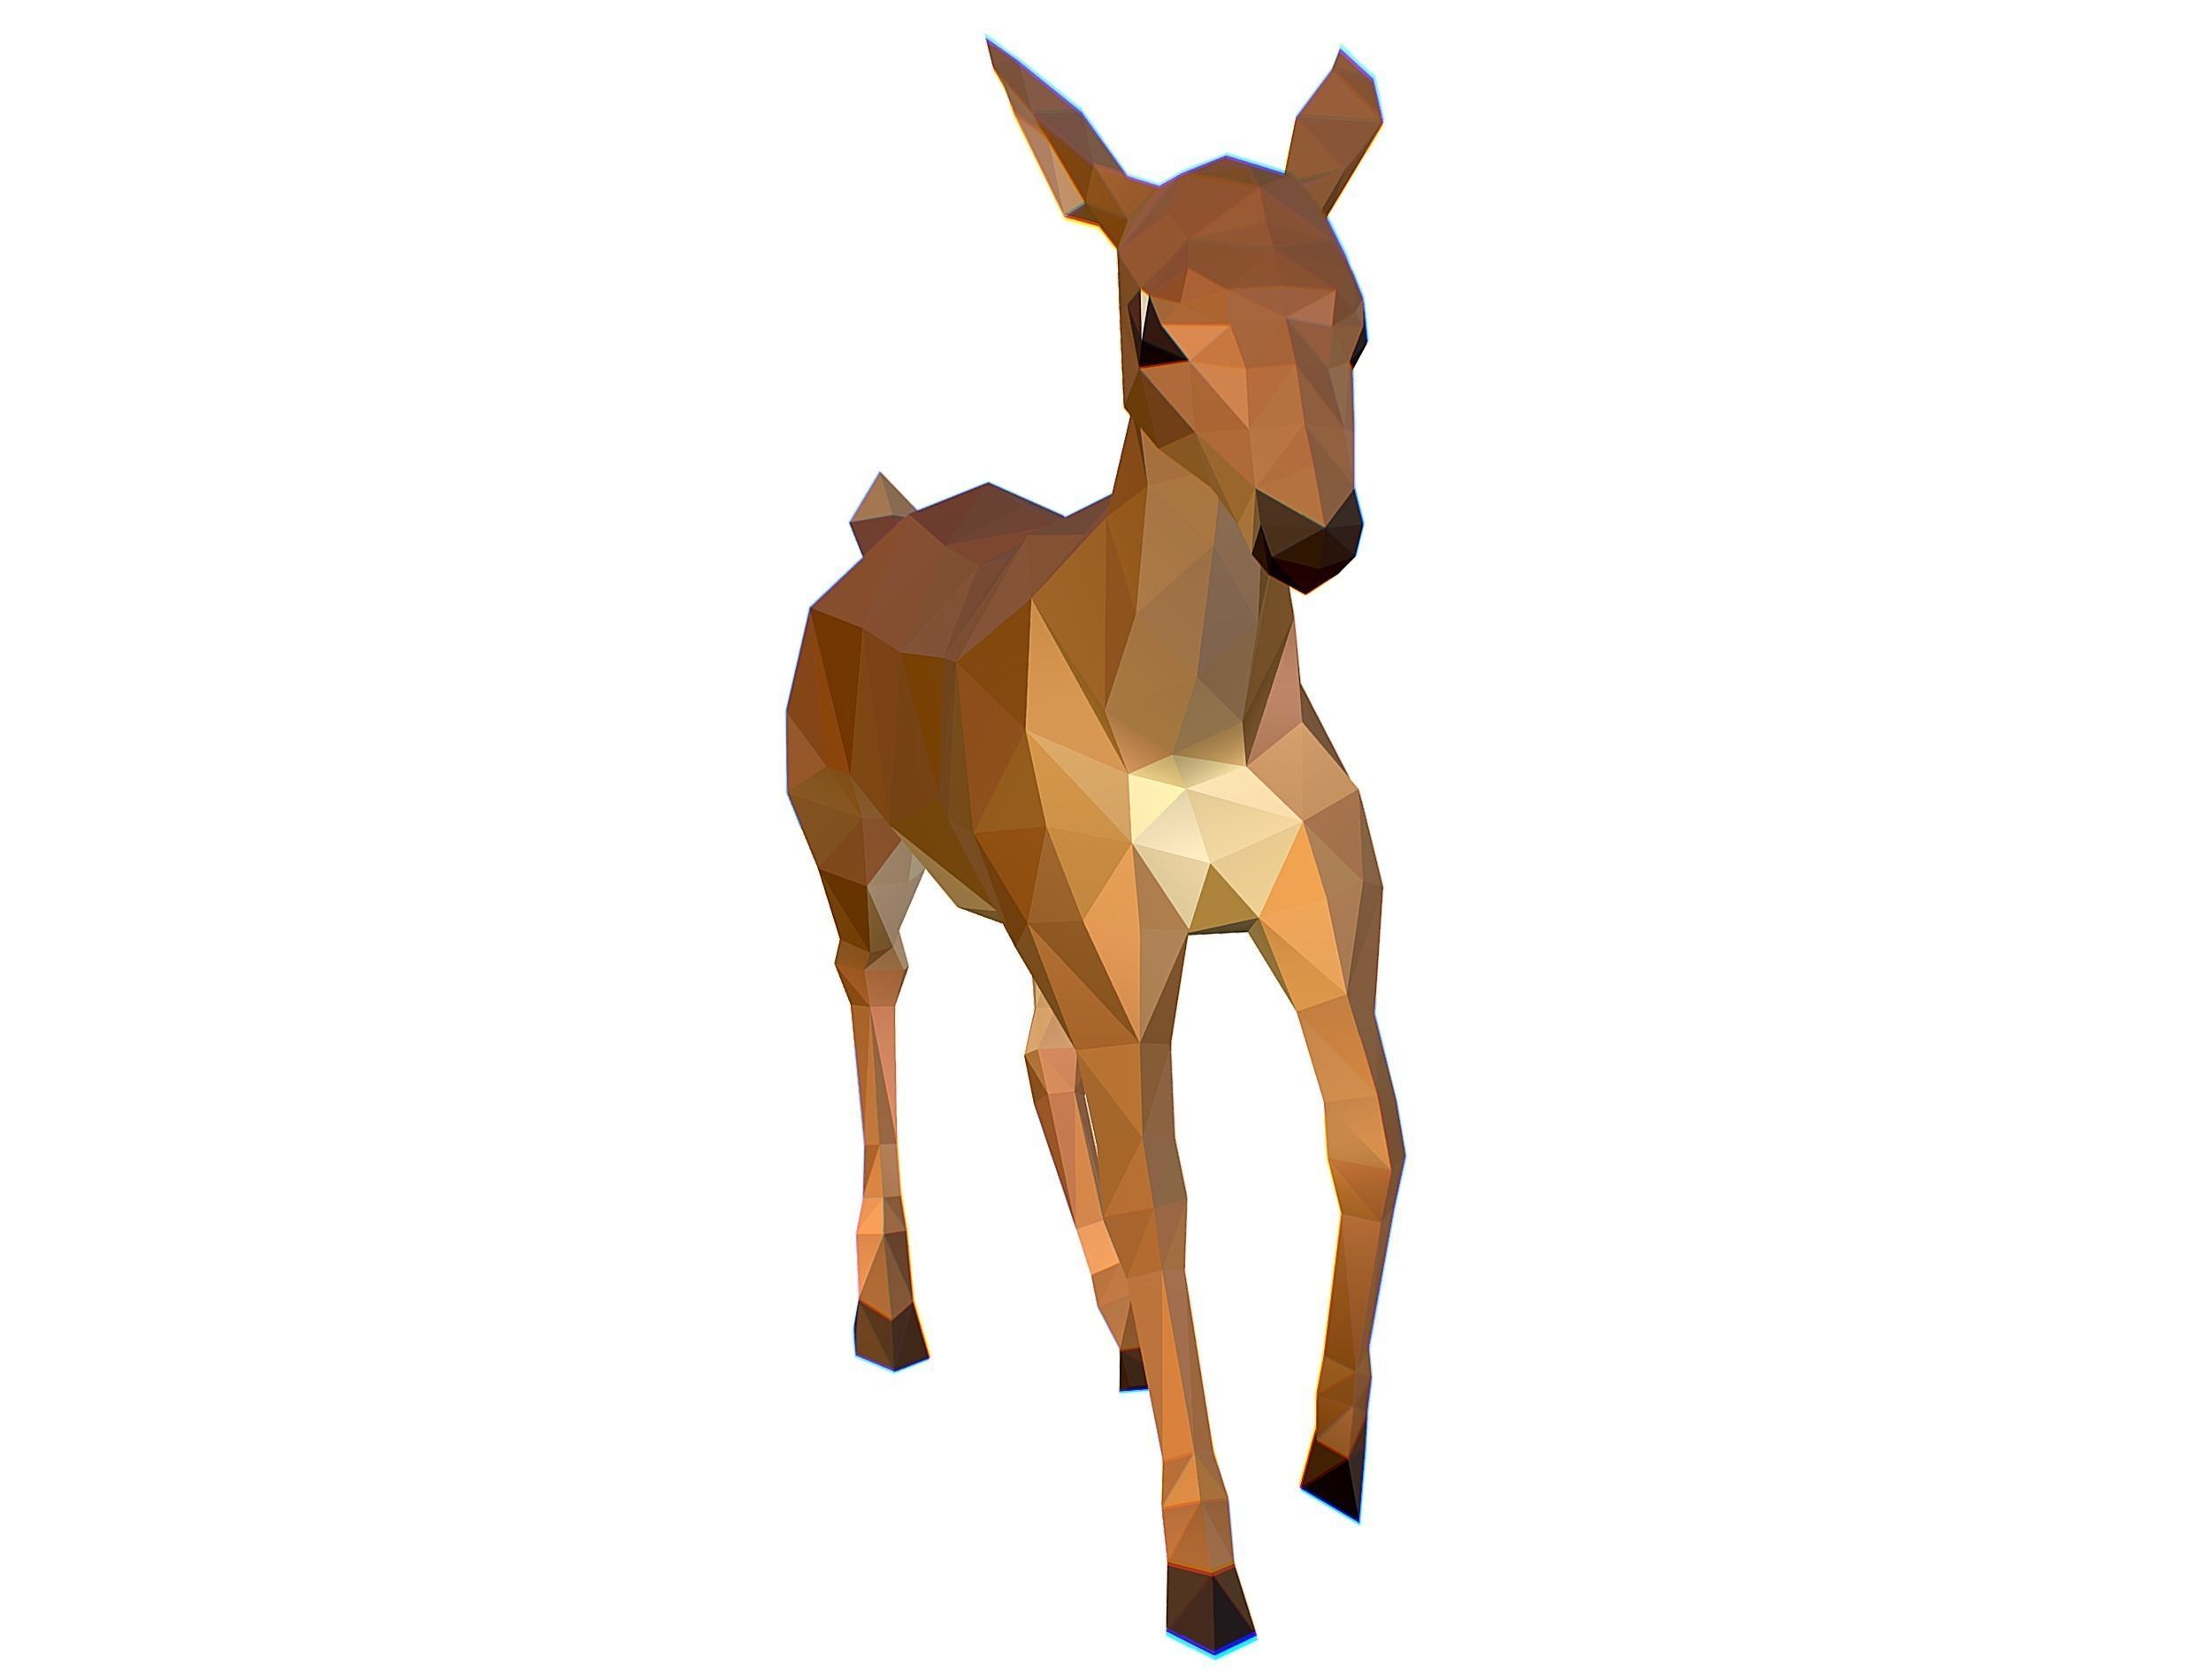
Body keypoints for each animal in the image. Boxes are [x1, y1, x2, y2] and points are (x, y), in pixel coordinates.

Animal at [786, 42, 1403, 1655]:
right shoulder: (1127, 958)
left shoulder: (1317, 927)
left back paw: (1116, 1334)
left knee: (1032, 1048)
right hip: (860, 858)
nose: (1314, 536)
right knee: (875, 997)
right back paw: (891, 1320)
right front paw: (1206, 1577)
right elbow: (1173, 1199)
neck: (1190, 726)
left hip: (1040, 918)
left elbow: (1369, 1141)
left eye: (1358, 320)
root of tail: (875, 534)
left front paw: (1336, 1460)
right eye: (1153, 324)